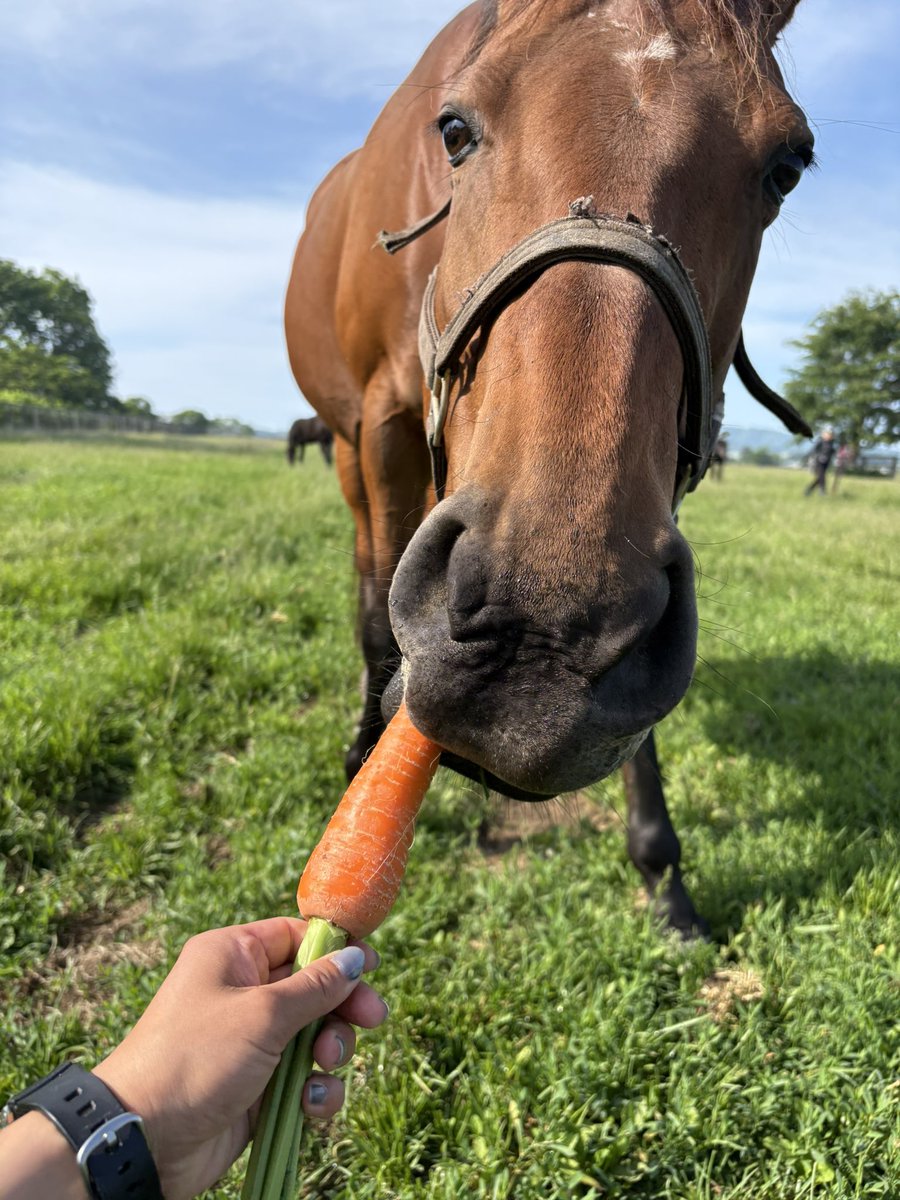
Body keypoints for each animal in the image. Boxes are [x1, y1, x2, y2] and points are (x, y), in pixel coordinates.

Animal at [285, 0, 813, 936]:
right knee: (367, 573)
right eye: (454, 131)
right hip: (348, 445)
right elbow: (380, 608)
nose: (533, 642)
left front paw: (661, 871)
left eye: (785, 168)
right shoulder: (381, 426)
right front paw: (362, 752)